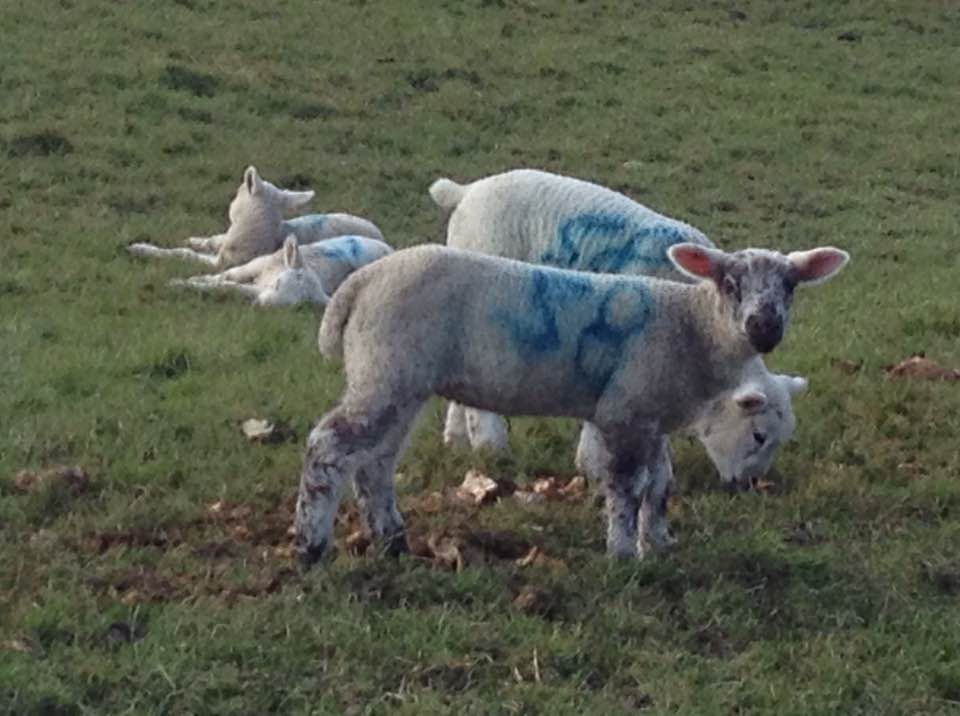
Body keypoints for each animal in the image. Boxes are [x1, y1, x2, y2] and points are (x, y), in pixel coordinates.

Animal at [172, 232, 394, 304]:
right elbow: (225, 276)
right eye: (278, 283)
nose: (261, 303)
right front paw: (187, 281)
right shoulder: (257, 267)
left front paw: (186, 283)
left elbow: (230, 286)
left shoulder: (258, 288)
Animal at [294, 243, 848, 568]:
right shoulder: (624, 410)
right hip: (387, 368)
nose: (765, 328)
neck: (691, 327)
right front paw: (623, 554)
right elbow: (628, 487)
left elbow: (661, 486)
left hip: (396, 378)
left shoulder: (651, 414)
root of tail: (359, 284)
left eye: (791, 286)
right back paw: (310, 546)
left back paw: (392, 541)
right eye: (730, 284)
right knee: (330, 445)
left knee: (375, 461)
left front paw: (660, 542)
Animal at [432, 169, 808, 486]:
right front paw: (595, 470)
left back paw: (456, 441)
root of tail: (465, 191)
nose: (748, 485)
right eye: (758, 435)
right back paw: (491, 445)